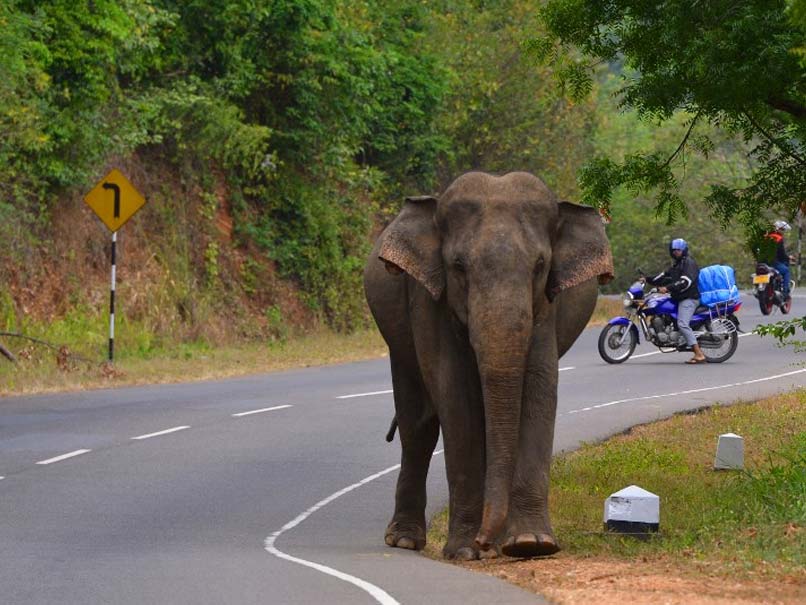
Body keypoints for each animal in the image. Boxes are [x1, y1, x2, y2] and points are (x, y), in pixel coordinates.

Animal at [364, 169, 612, 556]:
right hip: (396, 337)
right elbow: (455, 396)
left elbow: (540, 388)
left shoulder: (546, 306)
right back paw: (405, 540)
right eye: (458, 266)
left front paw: (530, 544)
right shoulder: (428, 300)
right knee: (417, 426)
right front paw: (465, 550)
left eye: (540, 265)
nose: (483, 540)